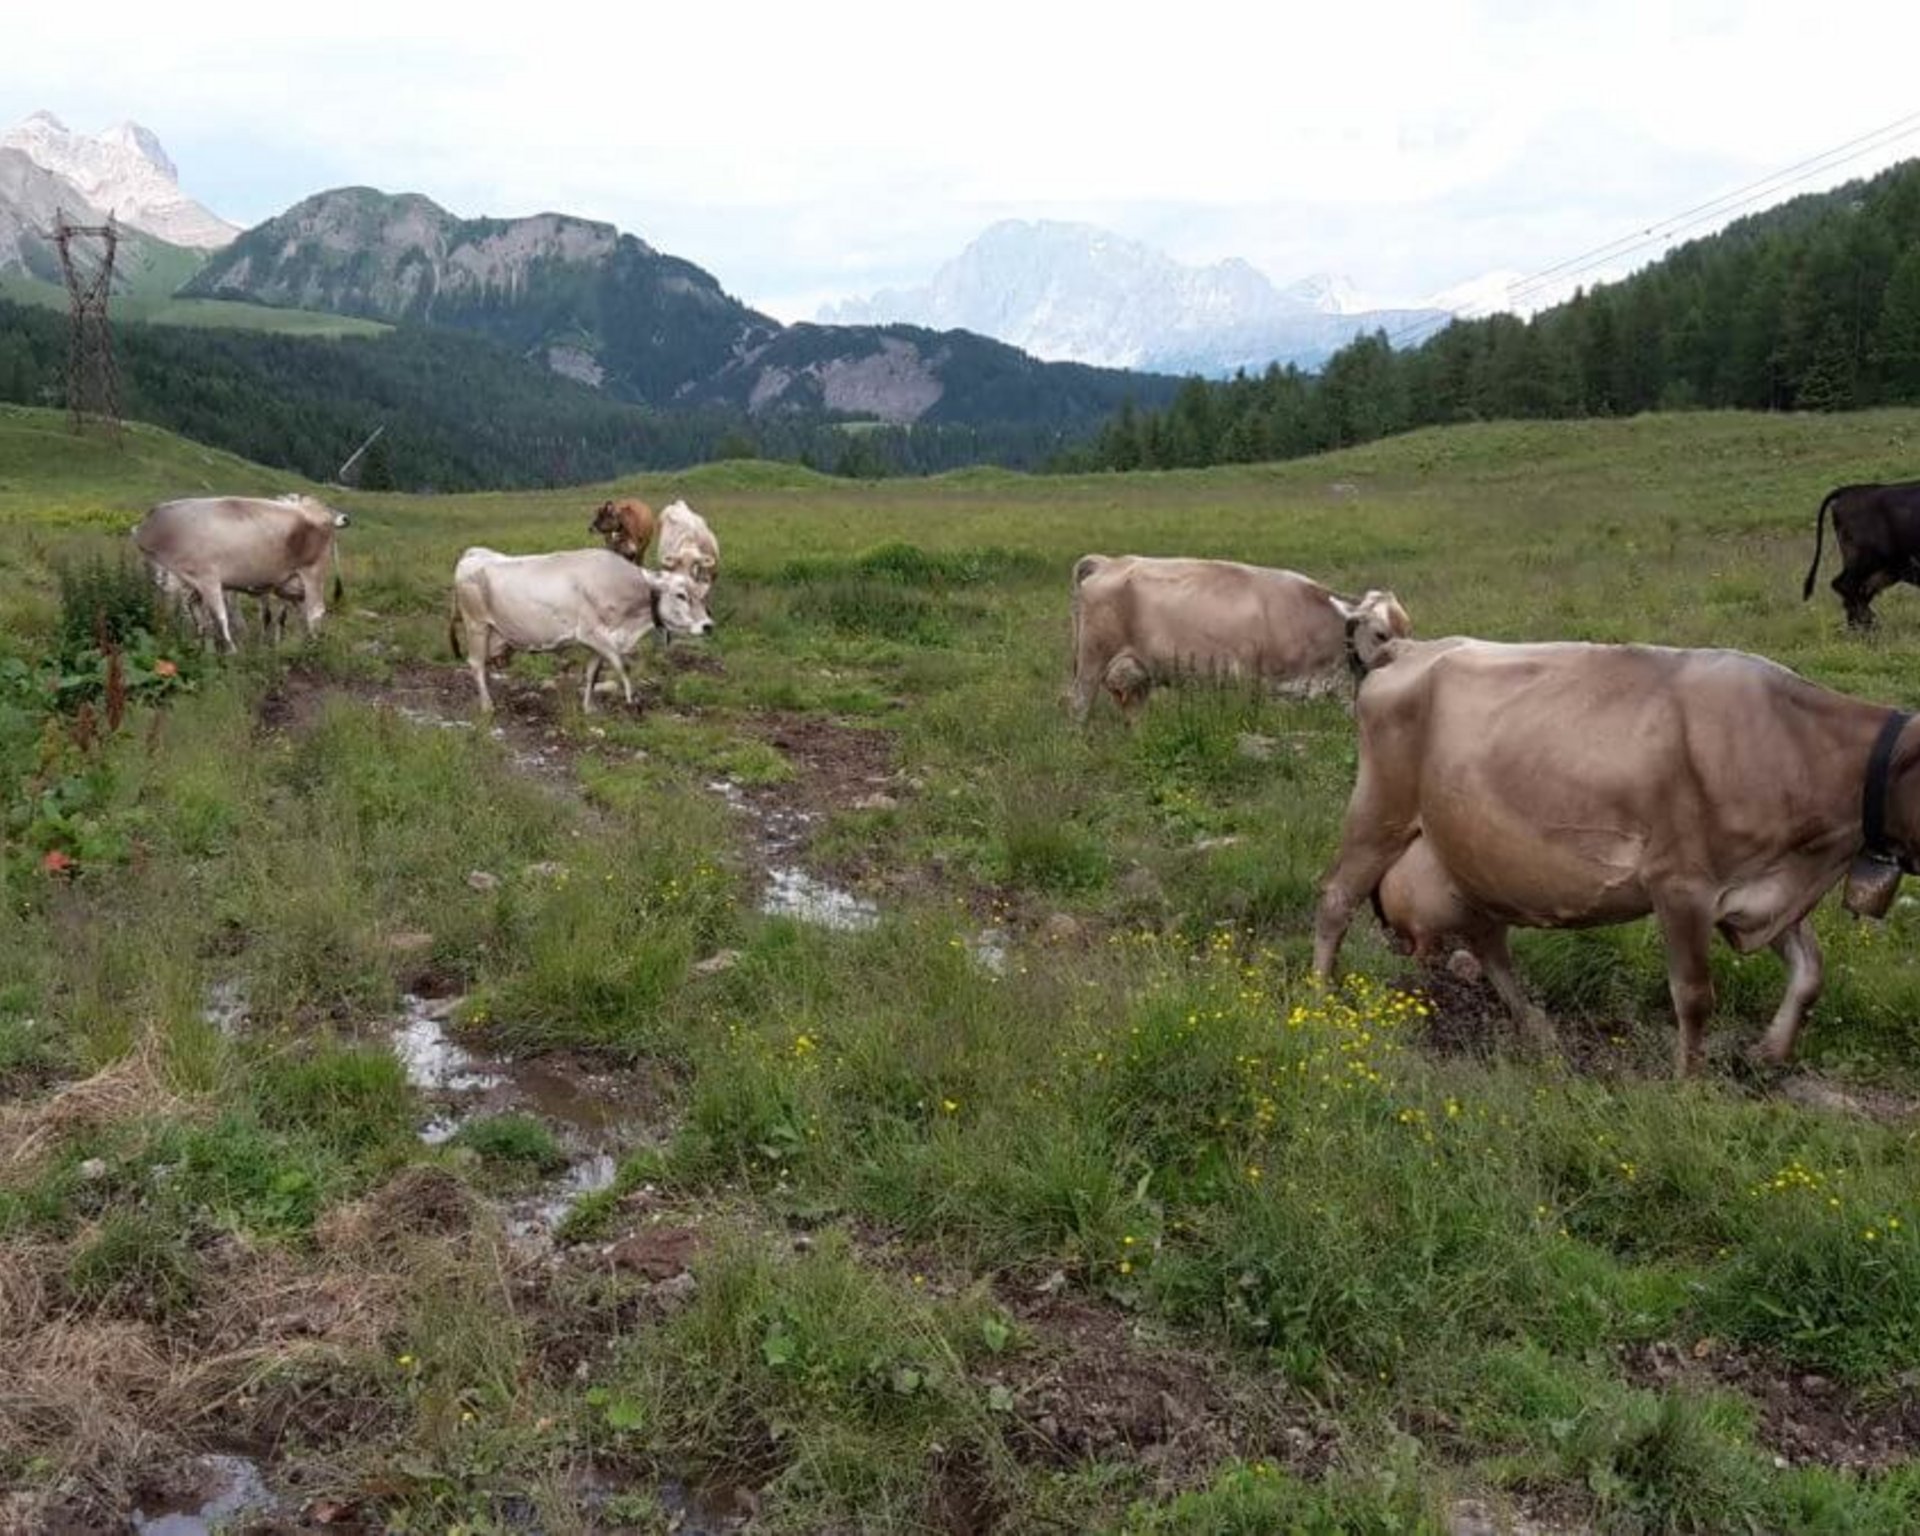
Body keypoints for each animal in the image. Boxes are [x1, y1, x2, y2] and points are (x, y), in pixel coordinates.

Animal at [135, 491, 349, 648]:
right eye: (147, 561)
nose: (158, 579)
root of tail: (317, 511)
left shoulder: (208, 578)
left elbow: (219, 617)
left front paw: (229, 652)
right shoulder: (193, 584)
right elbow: (199, 616)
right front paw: (203, 647)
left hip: (312, 572)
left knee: (315, 611)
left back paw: (311, 647)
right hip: (290, 584)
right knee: (301, 613)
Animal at [449, 545, 714, 714]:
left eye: (701, 594)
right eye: (680, 595)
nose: (708, 626)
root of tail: (474, 554)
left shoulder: (599, 643)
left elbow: (592, 674)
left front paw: (589, 708)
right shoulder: (593, 634)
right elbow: (623, 666)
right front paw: (633, 702)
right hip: (476, 625)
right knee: (476, 664)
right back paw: (487, 705)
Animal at [1067, 556, 1413, 721]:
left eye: (1409, 631)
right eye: (1380, 634)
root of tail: (1109, 561)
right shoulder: (1255, 679)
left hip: (1137, 670)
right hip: (1092, 660)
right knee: (1079, 705)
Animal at [1305, 629, 1920, 1075]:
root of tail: (1411, 646)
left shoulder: (1762, 888)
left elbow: (1811, 971)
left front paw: (1769, 1053)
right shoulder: (1681, 883)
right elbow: (1694, 995)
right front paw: (1690, 1085)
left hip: (1471, 856)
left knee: (1487, 941)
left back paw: (1536, 1029)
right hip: (1380, 810)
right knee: (1336, 898)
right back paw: (1318, 997)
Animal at [1797, 476, 1920, 625]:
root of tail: (1848, 491)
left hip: (1881, 569)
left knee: (1858, 592)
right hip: (1864, 562)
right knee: (1845, 585)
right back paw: (1867, 622)